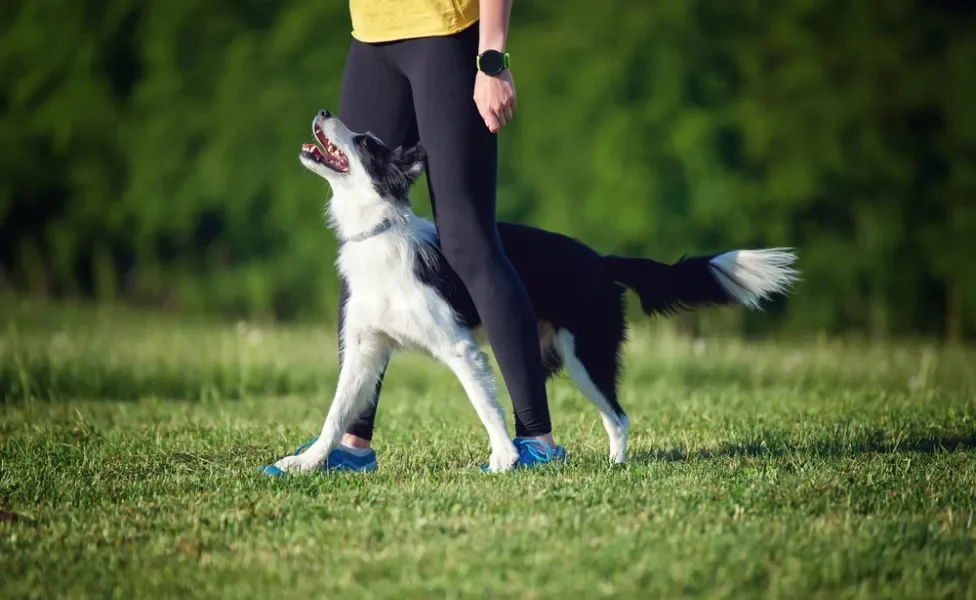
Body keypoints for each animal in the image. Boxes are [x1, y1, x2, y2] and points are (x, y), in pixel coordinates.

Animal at [268, 109, 800, 474]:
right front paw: (308, 462)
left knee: (618, 415)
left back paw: (613, 466)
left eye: (363, 142)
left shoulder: (459, 347)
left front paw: (503, 459)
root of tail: (600, 260)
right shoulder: (366, 349)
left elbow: (484, 404)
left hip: (586, 354)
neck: (379, 232)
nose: (323, 112)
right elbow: (337, 412)